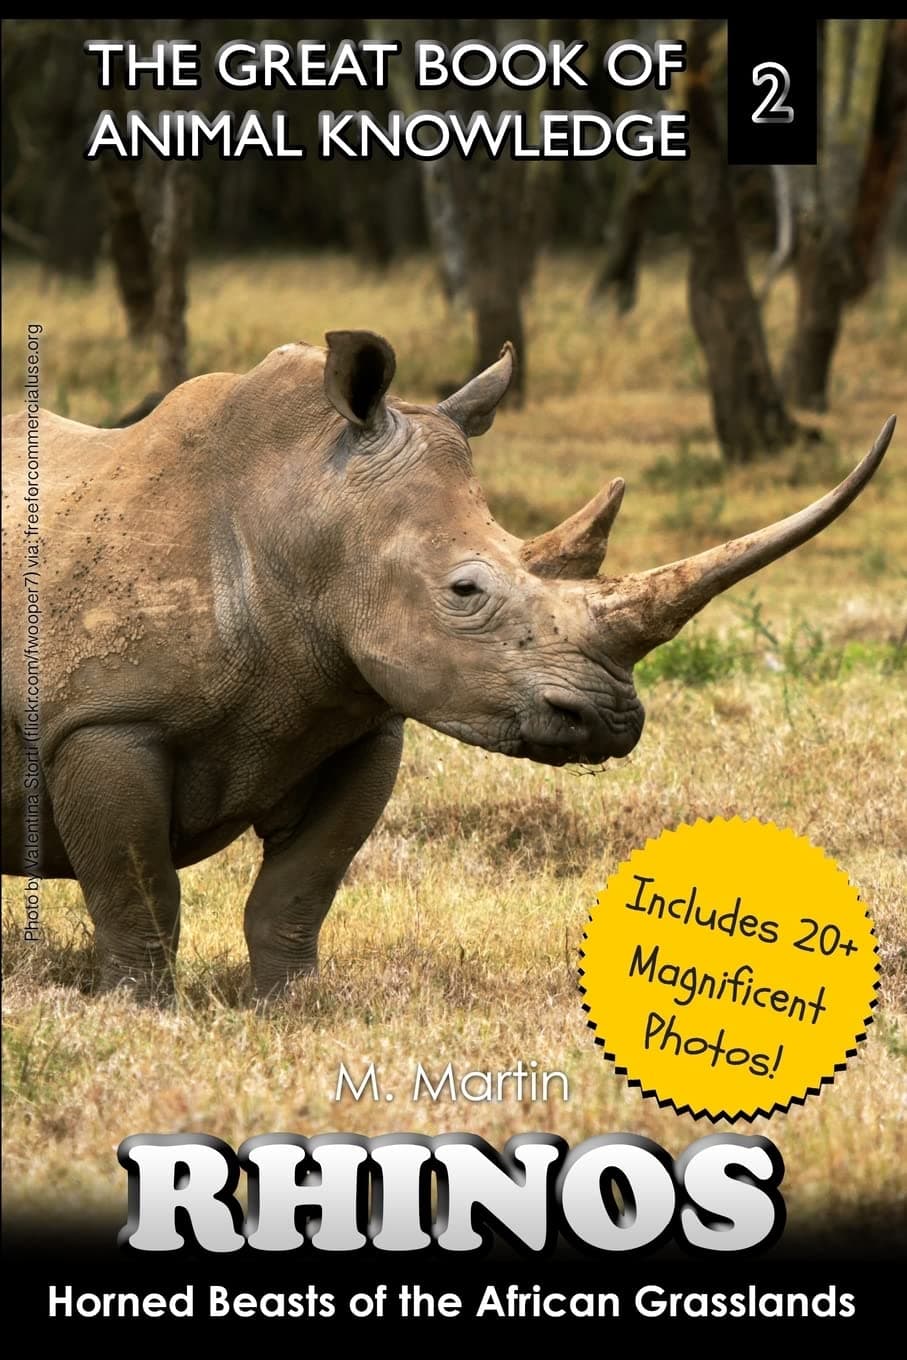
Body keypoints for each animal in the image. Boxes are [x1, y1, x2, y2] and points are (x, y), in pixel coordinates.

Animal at [1, 332, 894, 999]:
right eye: (465, 590)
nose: (610, 721)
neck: (300, 510)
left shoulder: (357, 719)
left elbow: (298, 889)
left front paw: (291, 1005)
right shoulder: (104, 720)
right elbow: (138, 894)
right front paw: (142, 1010)